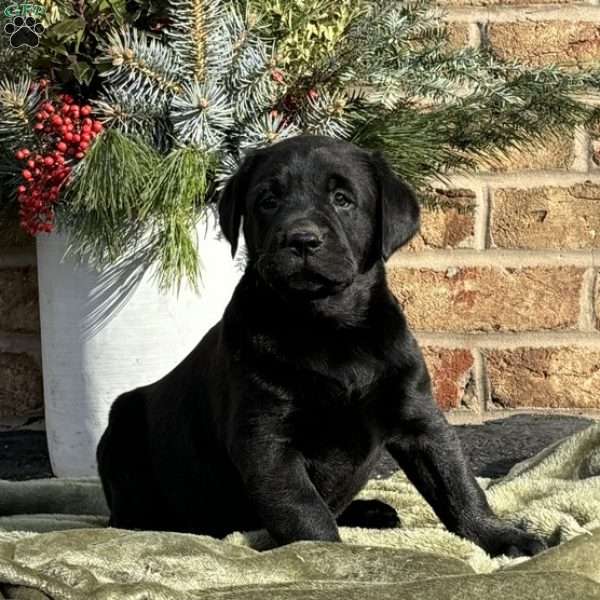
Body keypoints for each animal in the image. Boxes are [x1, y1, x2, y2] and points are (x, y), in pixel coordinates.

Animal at [96, 136, 548, 556]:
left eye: (342, 199)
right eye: (268, 200)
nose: (302, 239)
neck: (328, 328)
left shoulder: (419, 417)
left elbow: (457, 483)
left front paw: (501, 535)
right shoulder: (267, 441)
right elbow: (304, 512)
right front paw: (326, 558)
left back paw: (371, 510)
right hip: (122, 432)